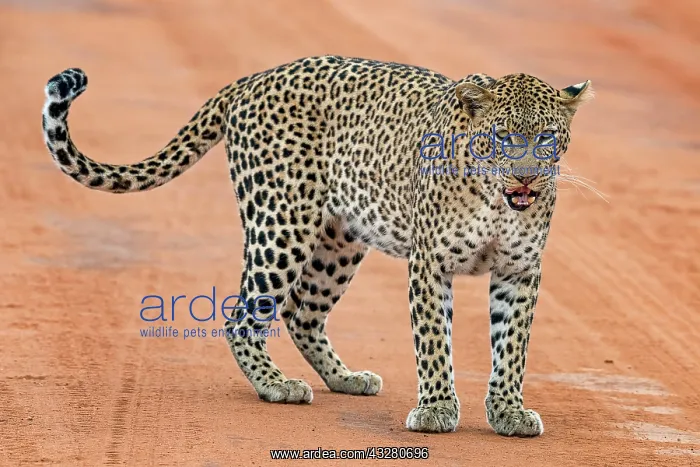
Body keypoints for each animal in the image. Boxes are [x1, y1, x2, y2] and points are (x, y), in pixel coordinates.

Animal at [41, 55, 593, 436]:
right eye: (502, 138)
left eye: (546, 137)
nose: (526, 177)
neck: (497, 201)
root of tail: (252, 79)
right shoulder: (429, 263)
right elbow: (434, 339)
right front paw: (437, 408)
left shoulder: (520, 270)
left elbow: (513, 344)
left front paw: (508, 411)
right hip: (281, 222)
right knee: (242, 316)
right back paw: (275, 385)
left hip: (339, 241)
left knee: (301, 313)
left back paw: (345, 378)